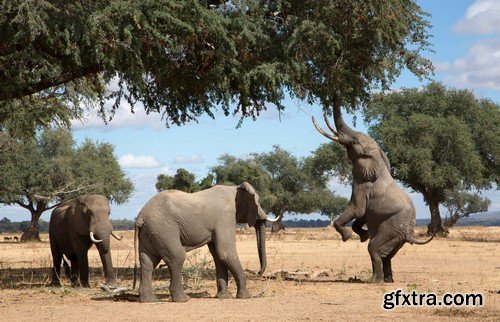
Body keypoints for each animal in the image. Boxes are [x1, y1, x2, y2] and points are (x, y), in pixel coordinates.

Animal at [133, 182, 278, 304]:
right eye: (258, 202)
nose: (258, 272)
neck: (234, 189)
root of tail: (141, 216)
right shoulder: (225, 219)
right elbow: (226, 253)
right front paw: (246, 297)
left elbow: (218, 256)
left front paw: (223, 297)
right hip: (164, 230)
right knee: (177, 257)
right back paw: (183, 299)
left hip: (151, 232)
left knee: (148, 262)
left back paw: (149, 300)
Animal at [312, 89, 434, 284]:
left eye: (354, 141)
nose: (337, 89)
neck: (378, 160)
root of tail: (409, 233)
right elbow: (362, 215)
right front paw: (363, 235)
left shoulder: (363, 186)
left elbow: (357, 209)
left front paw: (349, 236)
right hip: (396, 234)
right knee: (387, 255)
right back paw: (387, 280)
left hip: (392, 227)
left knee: (374, 248)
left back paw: (375, 281)